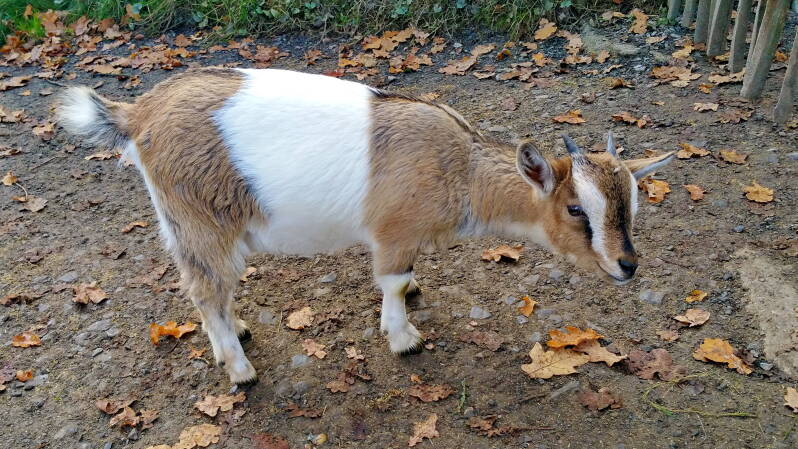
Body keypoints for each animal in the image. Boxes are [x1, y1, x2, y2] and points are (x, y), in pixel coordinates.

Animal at [58, 67, 675, 385]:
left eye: (633, 204)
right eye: (576, 209)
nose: (627, 265)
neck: (460, 167)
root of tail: (138, 113)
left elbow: (403, 280)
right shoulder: (394, 229)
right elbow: (393, 283)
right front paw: (403, 338)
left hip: (182, 222)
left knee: (200, 287)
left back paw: (232, 336)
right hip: (202, 217)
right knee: (207, 289)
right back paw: (239, 367)